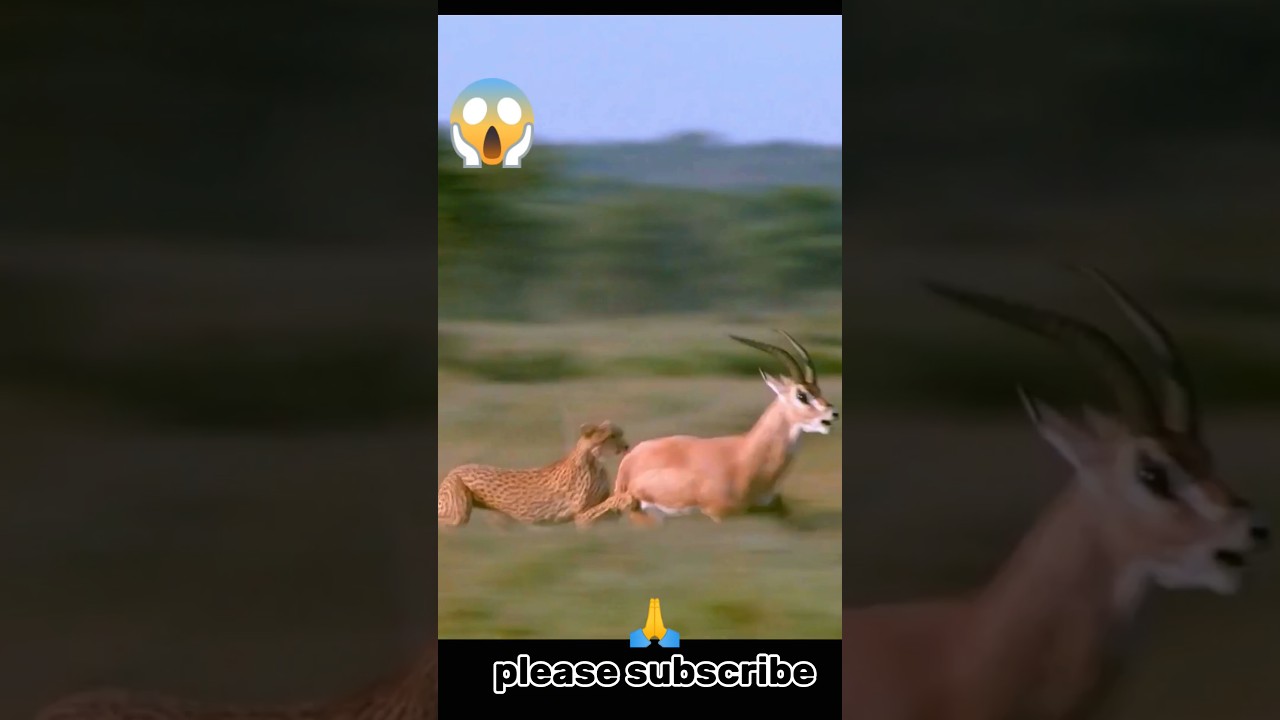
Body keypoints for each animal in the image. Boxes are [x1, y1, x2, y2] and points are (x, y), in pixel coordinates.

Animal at [437, 420, 635, 528]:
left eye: (620, 433)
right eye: (611, 436)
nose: (627, 446)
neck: (593, 461)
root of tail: (455, 468)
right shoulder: (581, 519)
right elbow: (607, 504)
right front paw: (627, 498)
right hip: (458, 514)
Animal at [610, 329, 839, 525]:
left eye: (818, 390)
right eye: (801, 395)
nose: (833, 413)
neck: (746, 457)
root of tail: (629, 460)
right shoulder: (719, 514)